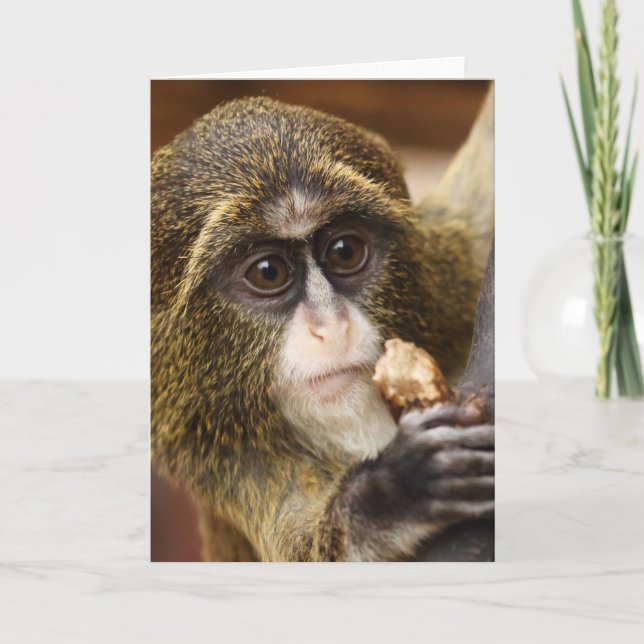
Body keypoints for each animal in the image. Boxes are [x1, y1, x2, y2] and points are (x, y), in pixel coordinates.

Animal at [151, 89, 494, 562]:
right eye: (268, 272)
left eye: (345, 251)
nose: (331, 327)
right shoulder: (227, 460)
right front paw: (395, 491)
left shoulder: (450, 274)